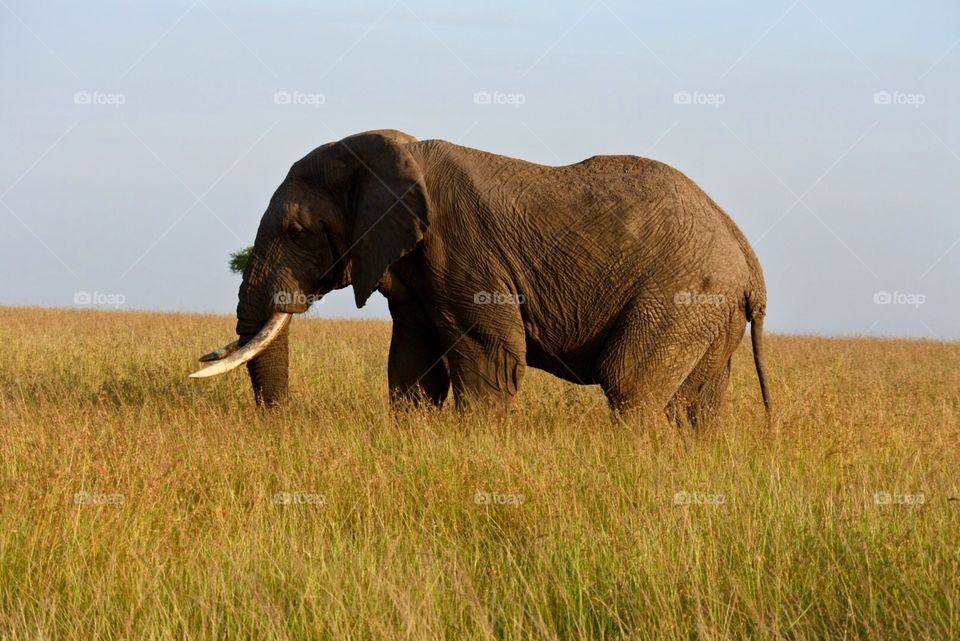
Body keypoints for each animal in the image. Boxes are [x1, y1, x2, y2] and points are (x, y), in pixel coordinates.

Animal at [191, 129, 772, 425]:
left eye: (298, 231)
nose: (279, 426)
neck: (396, 151)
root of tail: (748, 256)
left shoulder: (463, 249)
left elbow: (492, 357)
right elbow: (414, 366)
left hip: (682, 296)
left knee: (628, 384)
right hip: (711, 313)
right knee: (698, 405)